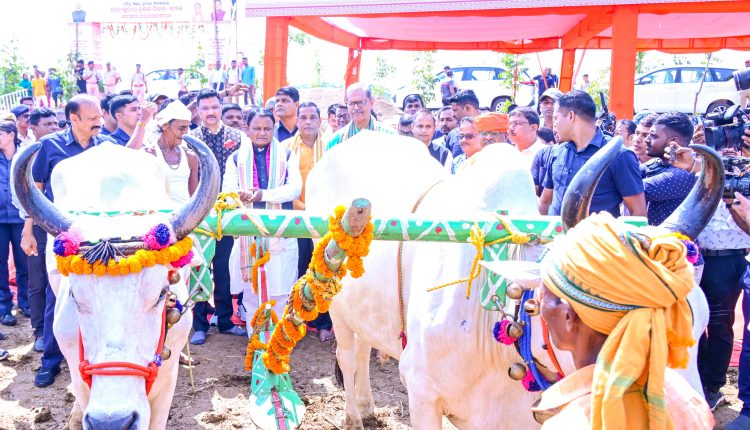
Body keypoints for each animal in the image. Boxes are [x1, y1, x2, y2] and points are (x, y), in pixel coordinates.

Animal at [306, 132, 718, 430]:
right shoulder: (422, 395)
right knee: (348, 355)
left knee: (364, 348)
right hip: (335, 300)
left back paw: (368, 408)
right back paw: (354, 417)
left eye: (699, 327)